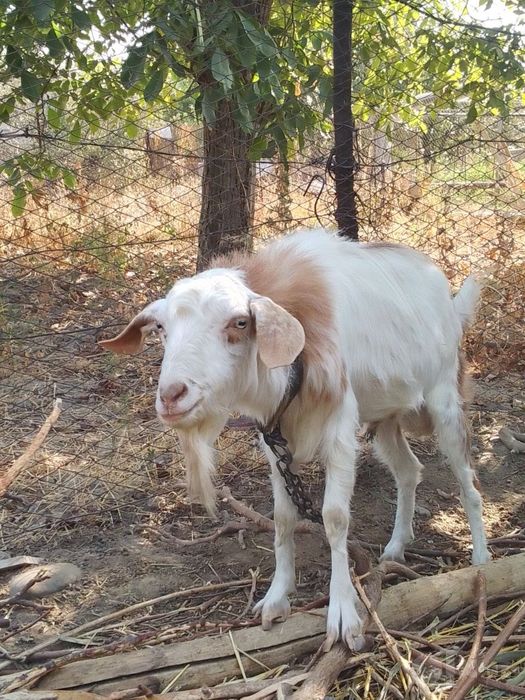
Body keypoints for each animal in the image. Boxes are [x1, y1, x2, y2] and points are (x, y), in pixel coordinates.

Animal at [100, 228, 490, 650]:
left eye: (240, 322)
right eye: (161, 329)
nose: (172, 396)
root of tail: (449, 301)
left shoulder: (339, 429)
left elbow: (334, 517)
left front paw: (343, 614)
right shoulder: (274, 438)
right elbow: (284, 517)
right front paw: (276, 598)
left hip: (445, 400)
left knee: (467, 482)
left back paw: (481, 559)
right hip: (385, 417)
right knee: (408, 470)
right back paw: (396, 547)